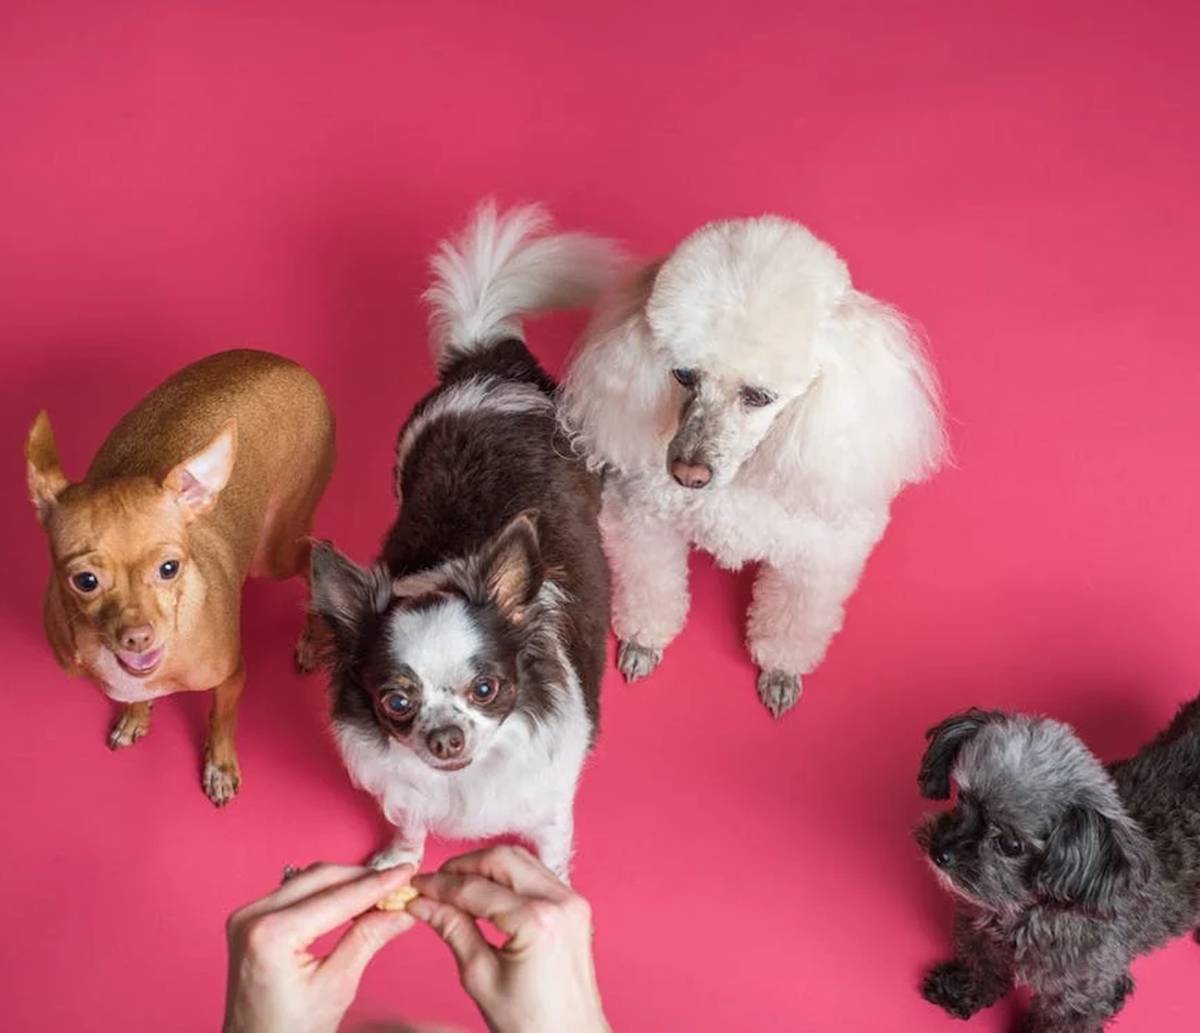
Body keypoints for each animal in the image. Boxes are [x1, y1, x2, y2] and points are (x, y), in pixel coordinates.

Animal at [912, 695, 1195, 1027]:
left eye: (1010, 844)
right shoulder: (981, 934)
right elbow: (981, 962)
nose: (939, 852)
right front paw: (963, 989)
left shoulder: (1084, 994)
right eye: (962, 799)